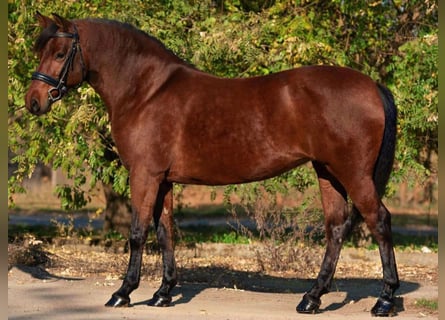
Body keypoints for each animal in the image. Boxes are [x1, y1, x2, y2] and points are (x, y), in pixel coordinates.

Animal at [24, 11, 398, 316]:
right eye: (39, 52)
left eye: (60, 54)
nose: (33, 102)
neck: (147, 91)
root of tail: (372, 85)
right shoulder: (163, 179)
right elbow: (164, 231)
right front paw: (163, 293)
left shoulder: (144, 175)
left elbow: (138, 232)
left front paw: (123, 292)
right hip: (328, 173)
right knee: (335, 228)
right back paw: (312, 298)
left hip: (353, 174)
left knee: (379, 220)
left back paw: (384, 300)